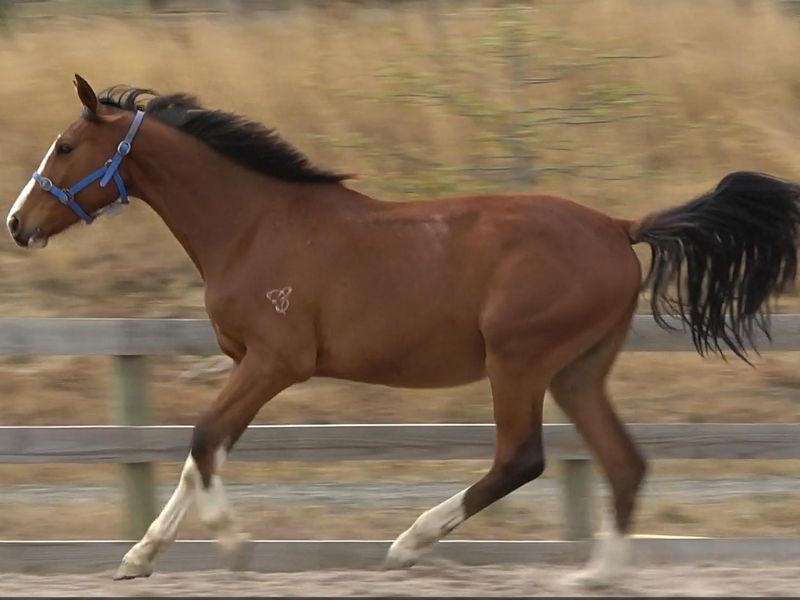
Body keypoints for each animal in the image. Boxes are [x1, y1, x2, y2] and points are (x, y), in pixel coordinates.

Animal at [7, 74, 800, 586]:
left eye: (65, 146)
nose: (17, 223)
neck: (254, 225)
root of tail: (617, 225)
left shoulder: (274, 361)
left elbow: (203, 441)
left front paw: (234, 546)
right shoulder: (248, 364)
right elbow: (199, 454)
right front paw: (139, 557)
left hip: (519, 360)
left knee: (521, 459)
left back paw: (409, 543)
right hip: (578, 369)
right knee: (623, 463)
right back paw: (594, 576)